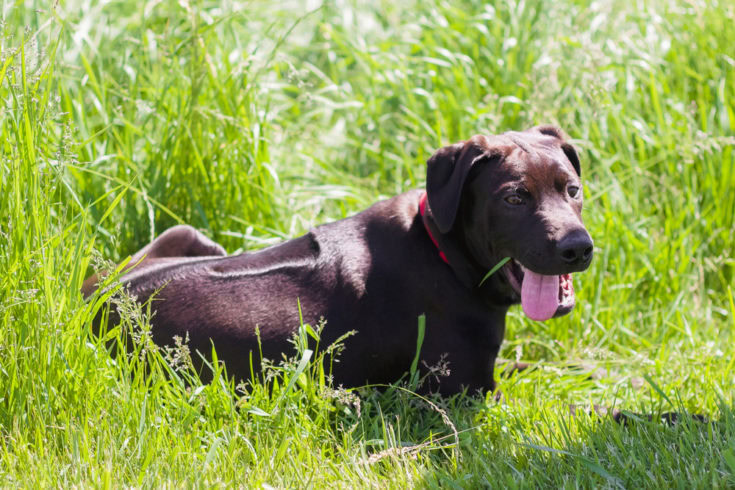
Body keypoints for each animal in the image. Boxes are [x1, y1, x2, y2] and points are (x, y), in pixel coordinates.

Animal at [85, 124, 592, 396]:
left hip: (186, 236)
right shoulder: (468, 390)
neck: (445, 253)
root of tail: (89, 305)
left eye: (573, 189)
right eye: (514, 198)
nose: (579, 248)